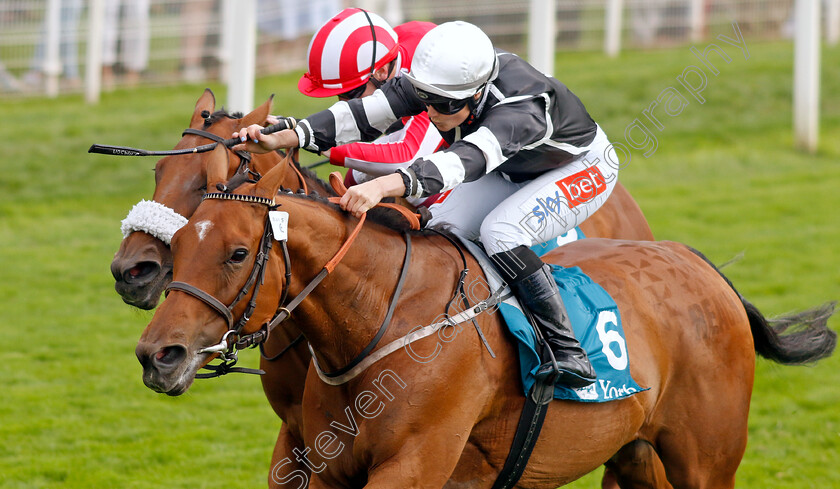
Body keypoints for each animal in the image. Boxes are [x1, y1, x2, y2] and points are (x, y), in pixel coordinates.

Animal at [136, 157, 832, 488]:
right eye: (182, 241)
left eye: (236, 253)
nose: (157, 354)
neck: (381, 322)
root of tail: (698, 262)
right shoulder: (322, 466)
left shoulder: (414, 467)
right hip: (634, 453)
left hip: (706, 462)